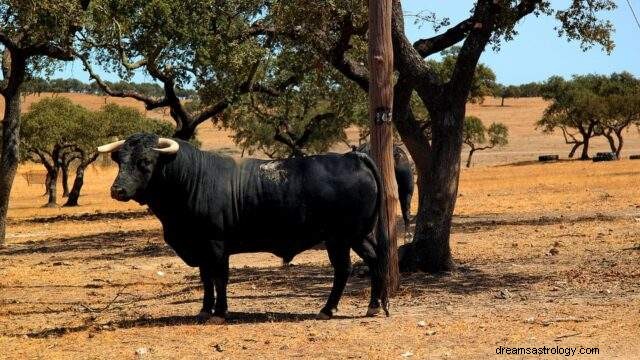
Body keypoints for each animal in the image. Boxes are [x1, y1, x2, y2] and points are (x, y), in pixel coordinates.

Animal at [100, 133, 390, 324]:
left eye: (145, 161)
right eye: (120, 160)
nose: (117, 190)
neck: (191, 179)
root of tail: (353, 157)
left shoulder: (215, 245)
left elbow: (219, 278)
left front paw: (219, 313)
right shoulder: (203, 248)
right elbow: (206, 279)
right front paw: (205, 310)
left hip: (339, 238)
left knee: (343, 270)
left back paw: (328, 309)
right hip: (358, 236)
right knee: (375, 260)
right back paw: (374, 306)